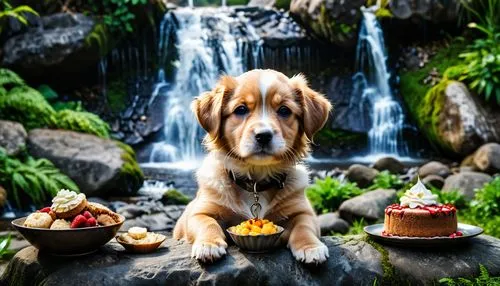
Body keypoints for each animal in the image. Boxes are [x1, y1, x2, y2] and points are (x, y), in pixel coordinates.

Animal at [174, 67, 334, 264]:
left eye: (284, 110)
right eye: (241, 109)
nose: (263, 135)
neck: (256, 181)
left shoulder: (304, 212)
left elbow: (304, 226)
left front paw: (310, 247)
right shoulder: (198, 211)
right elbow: (207, 223)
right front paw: (208, 245)